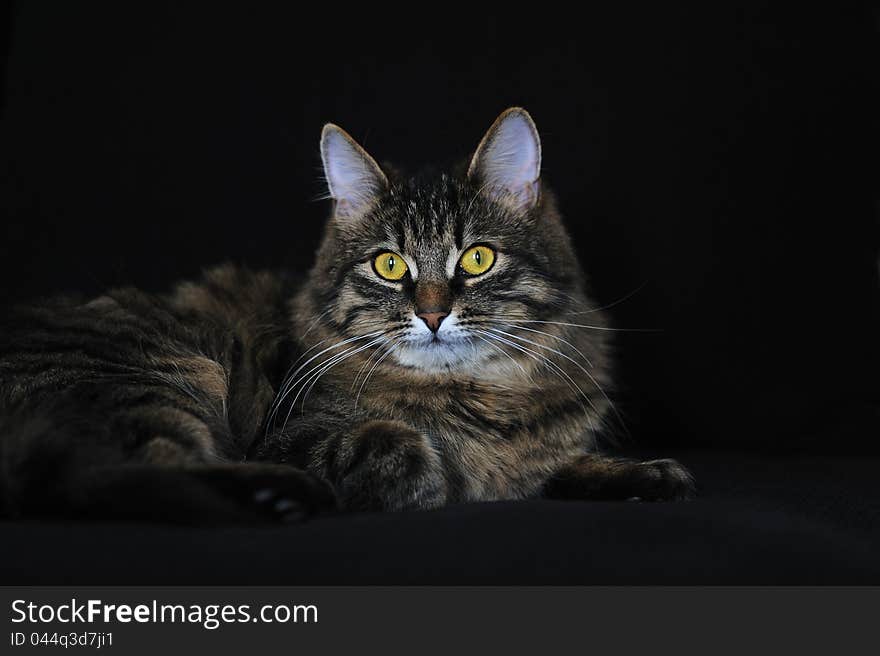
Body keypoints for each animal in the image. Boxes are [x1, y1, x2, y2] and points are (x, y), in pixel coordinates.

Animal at [0, 110, 696, 524]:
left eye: (477, 258)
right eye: (390, 265)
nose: (433, 314)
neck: (479, 395)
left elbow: (559, 467)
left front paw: (643, 475)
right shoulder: (293, 432)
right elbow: (411, 454)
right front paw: (440, 474)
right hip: (162, 370)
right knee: (109, 475)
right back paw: (280, 495)